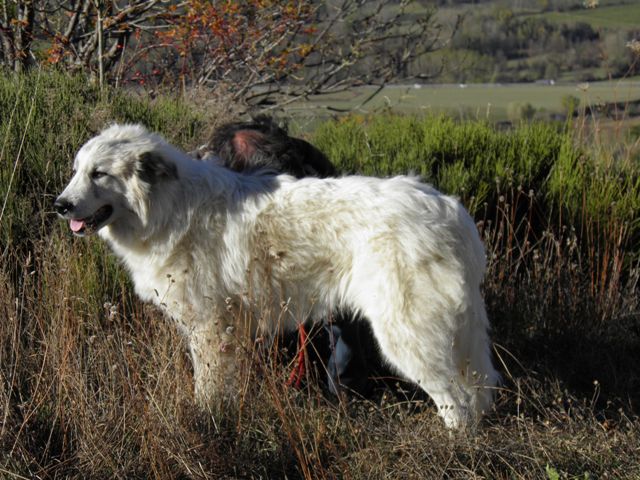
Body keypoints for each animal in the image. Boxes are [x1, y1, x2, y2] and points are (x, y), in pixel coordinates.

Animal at [55, 125, 500, 430]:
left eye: (99, 174)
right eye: (77, 171)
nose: (60, 205)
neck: (168, 207)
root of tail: (450, 211)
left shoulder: (211, 329)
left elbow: (207, 390)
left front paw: (206, 424)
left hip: (407, 333)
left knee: (457, 401)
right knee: (476, 390)